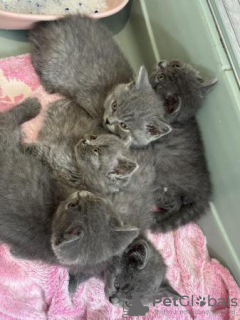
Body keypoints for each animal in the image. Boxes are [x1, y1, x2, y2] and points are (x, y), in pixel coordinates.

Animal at [0, 99, 138, 268]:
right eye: (94, 137)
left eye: (96, 150)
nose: (84, 140)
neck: (78, 171)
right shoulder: (53, 152)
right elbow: (38, 150)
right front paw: (25, 148)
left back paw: (33, 104)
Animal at [148, 59, 218, 230]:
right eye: (176, 65)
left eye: (160, 77)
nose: (161, 63)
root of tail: (205, 192)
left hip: (161, 184)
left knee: (176, 205)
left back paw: (155, 215)